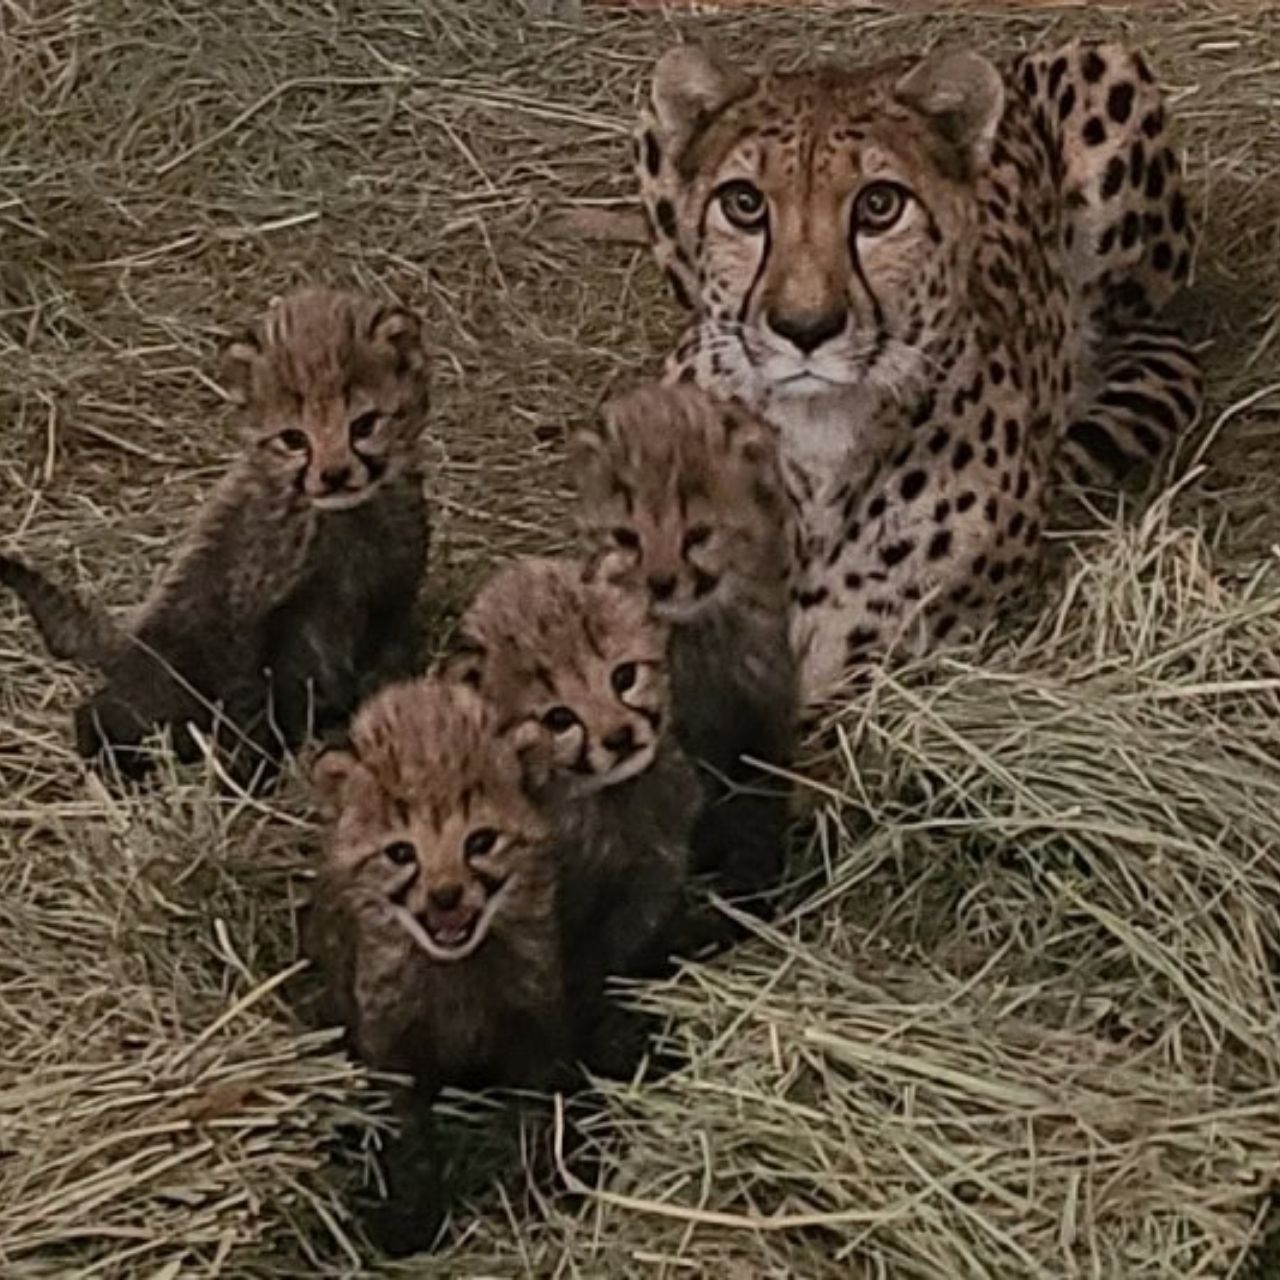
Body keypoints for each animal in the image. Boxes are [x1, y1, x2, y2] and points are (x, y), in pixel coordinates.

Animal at [0, 287, 431, 783]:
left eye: (364, 425)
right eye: (294, 439)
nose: (335, 476)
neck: (342, 520)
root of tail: (129, 642)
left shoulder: (390, 606)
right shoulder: (249, 622)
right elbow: (249, 704)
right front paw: (246, 775)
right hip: (175, 672)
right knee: (102, 711)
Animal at [572, 382, 796, 929]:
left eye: (698, 536)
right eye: (626, 538)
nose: (660, 582)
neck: (692, 638)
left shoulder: (763, 723)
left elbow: (760, 807)